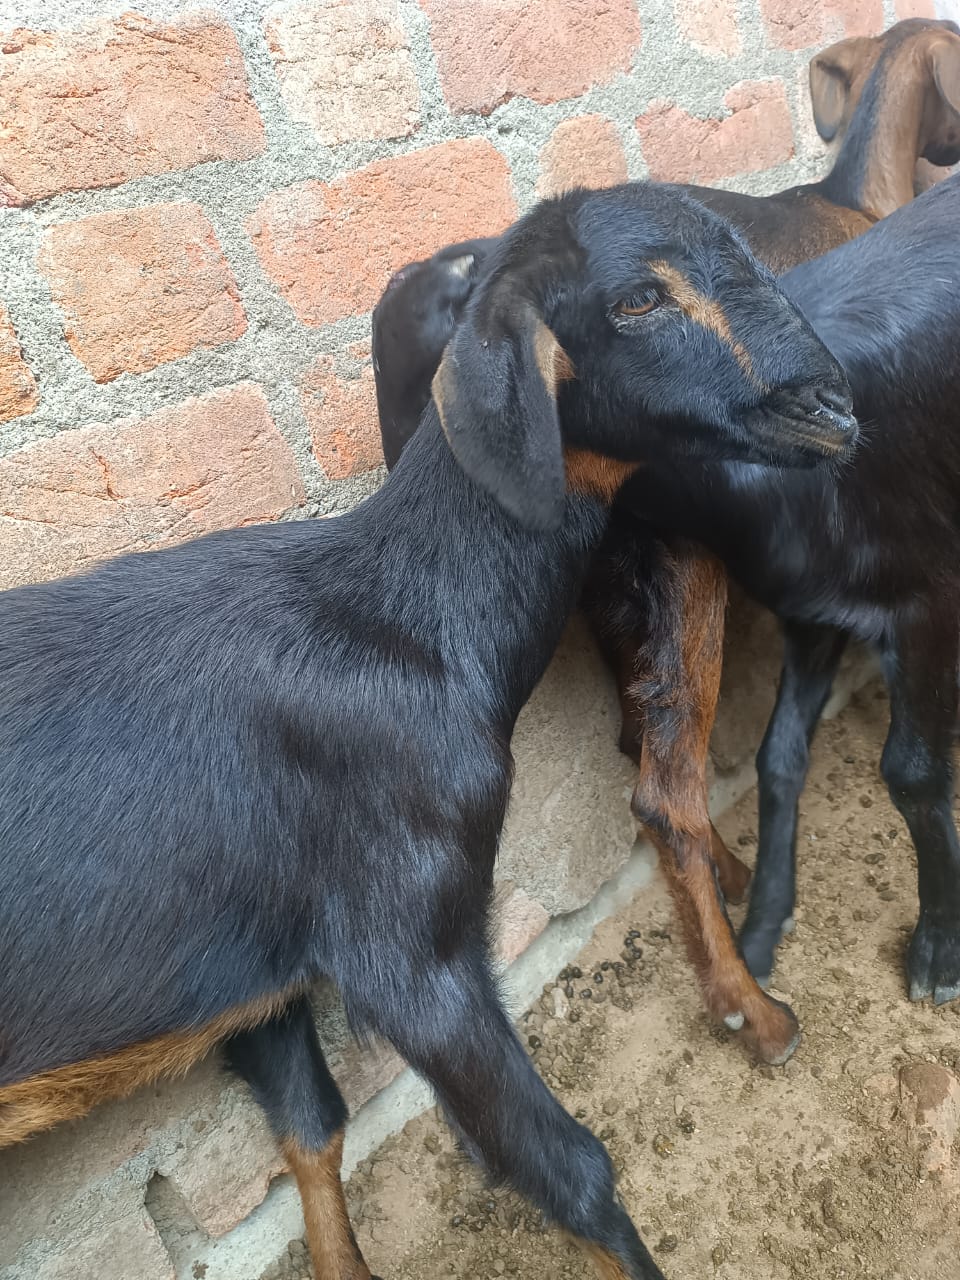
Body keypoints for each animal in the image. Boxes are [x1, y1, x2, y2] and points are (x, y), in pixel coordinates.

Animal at [0, 184, 856, 1280]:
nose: (834, 410)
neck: (411, 616)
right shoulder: (408, 939)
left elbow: (312, 1129)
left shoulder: (258, 971)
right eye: (635, 299)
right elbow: (569, 1167)